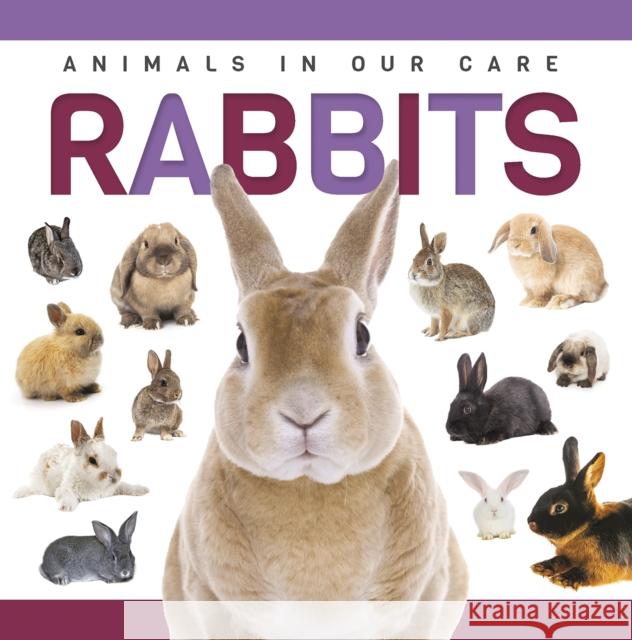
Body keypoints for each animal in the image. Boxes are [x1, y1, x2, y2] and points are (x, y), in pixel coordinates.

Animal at [14, 418, 149, 512]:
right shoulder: (65, 489)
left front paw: (143, 490)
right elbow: (67, 496)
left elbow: (126, 486)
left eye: (114, 453)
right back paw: (18, 493)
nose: (114, 478)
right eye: (92, 460)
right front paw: (66, 507)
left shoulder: (116, 487)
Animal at [528, 437, 632, 589]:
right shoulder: (568, 556)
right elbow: (559, 560)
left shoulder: (609, 563)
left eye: (560, 508)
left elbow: (587, 571)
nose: (531, 523)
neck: (589, 526)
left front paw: (562, 579)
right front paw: (542, 567)